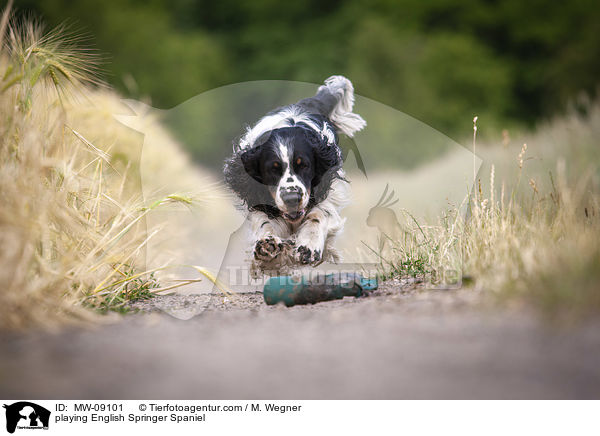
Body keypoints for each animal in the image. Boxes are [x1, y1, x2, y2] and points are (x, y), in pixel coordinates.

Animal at [224, 75, 366, 272]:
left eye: (304, 165)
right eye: (272, 169)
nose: (292, 199)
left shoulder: (328, 191)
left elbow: (318, 216)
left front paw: (309, 246)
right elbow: (266, 223)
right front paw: (267, 245)